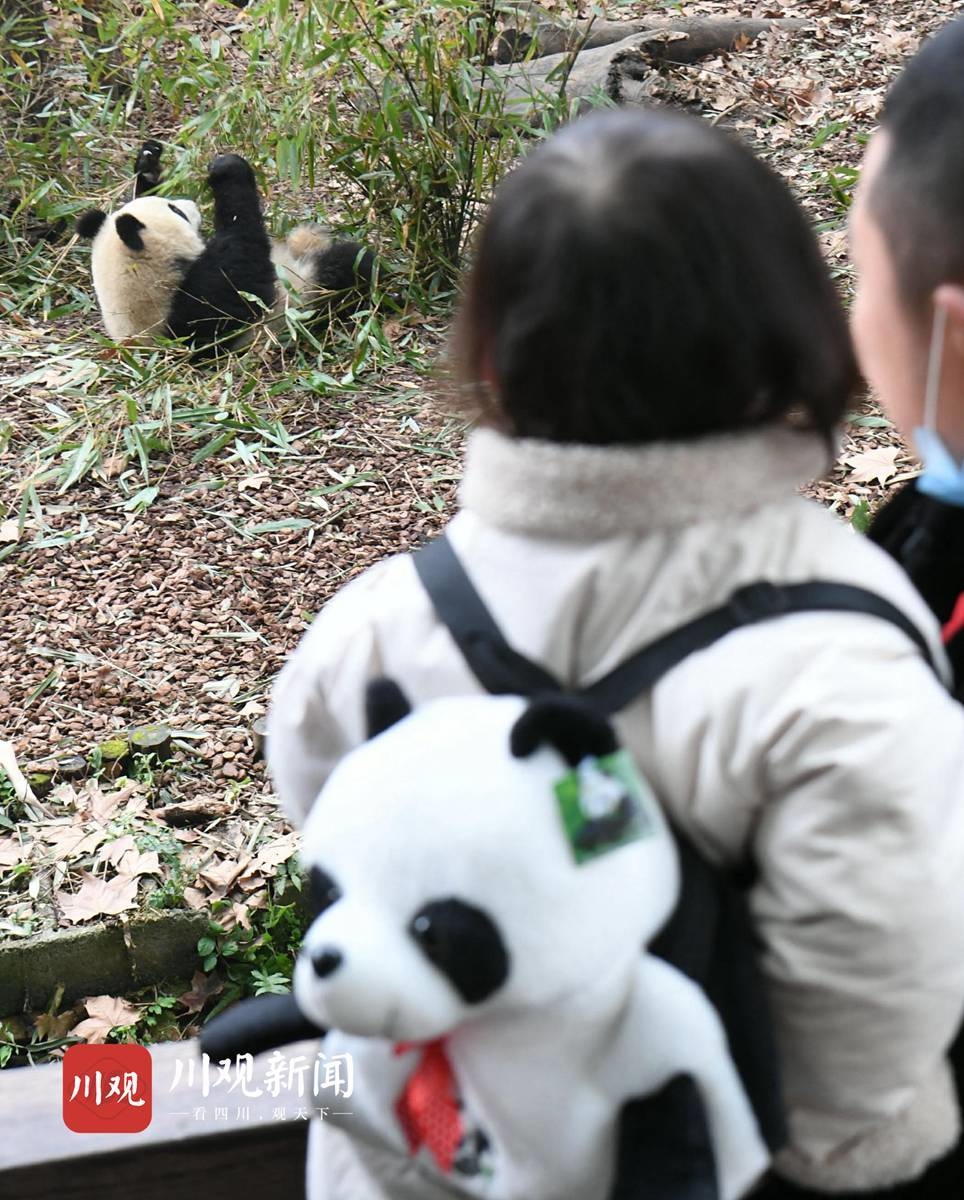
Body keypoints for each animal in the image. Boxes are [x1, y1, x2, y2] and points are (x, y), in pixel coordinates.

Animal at [75, 149, 374, 357]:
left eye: (172, 204)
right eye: (177, 211)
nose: (190, 203)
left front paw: (148, 165)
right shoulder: (195, 315)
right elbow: (243, 267)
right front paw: (227, 168)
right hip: (305, 295)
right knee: (346, 268)